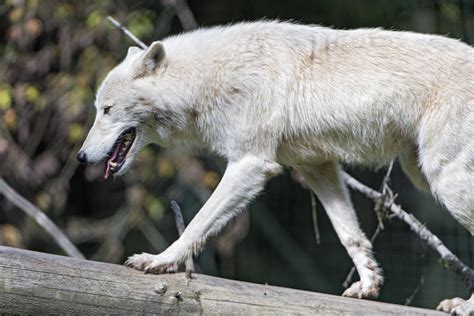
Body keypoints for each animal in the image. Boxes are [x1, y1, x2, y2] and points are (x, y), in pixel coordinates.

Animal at [78, 21, 474, 312]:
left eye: (107, 110)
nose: (81, 157)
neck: (208, 78)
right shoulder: (317, 166)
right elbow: (349, 234)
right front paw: (368, 284)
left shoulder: (250, 164)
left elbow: (196, 224)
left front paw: (160, 260)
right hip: (417, 171)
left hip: (442, 179)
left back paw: (465, 305)